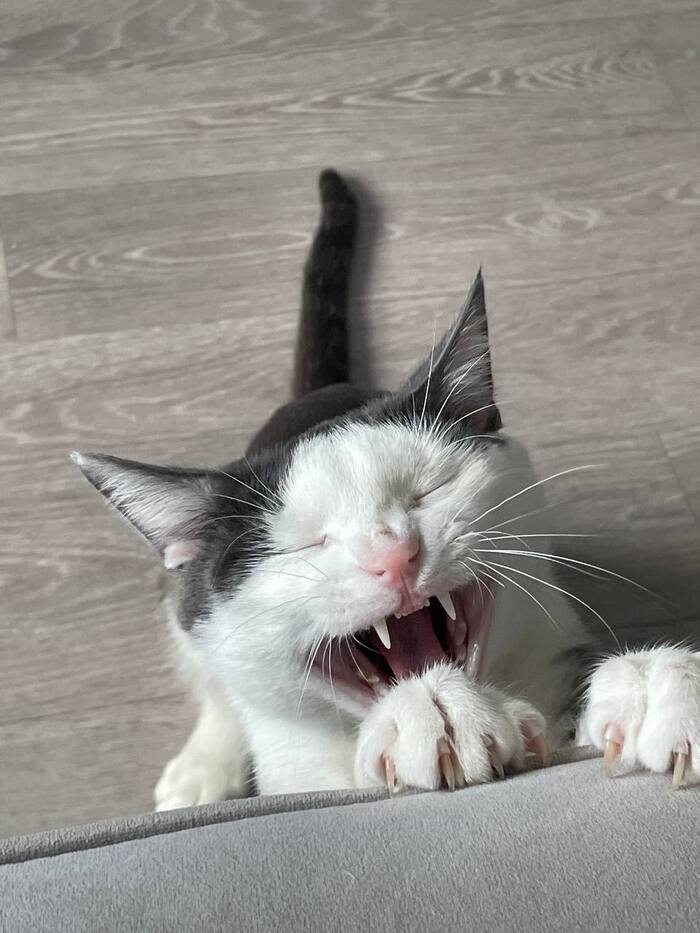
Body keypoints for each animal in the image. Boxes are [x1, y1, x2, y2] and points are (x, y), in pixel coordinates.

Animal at [73, 169, 698, 806]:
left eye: (432, 487)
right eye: (304, 544)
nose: (395, 555)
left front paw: (649, 685)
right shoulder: (296, 774)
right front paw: (430, 709)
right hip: (178, 598)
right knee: (213, 677)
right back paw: (204, 768)